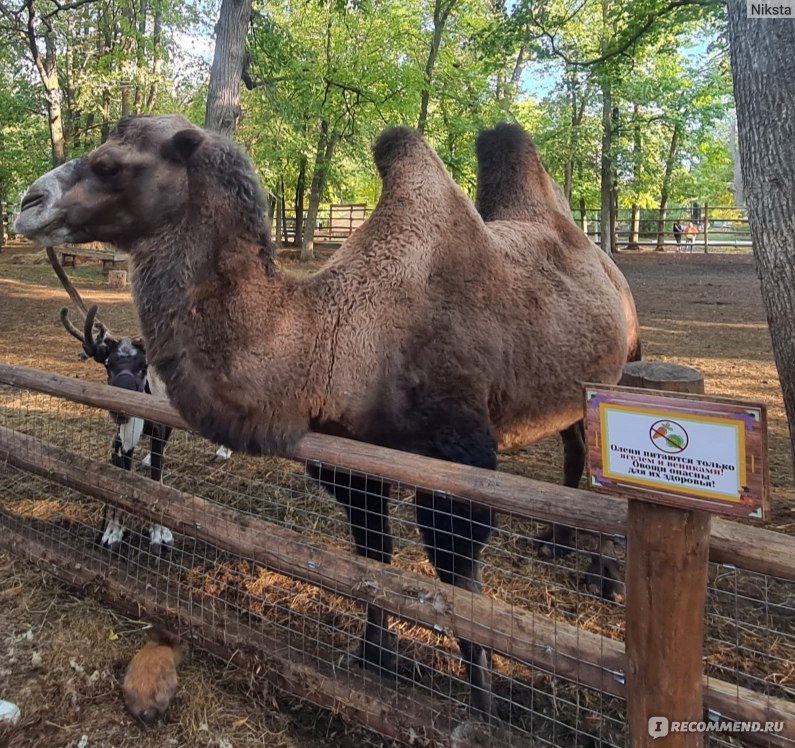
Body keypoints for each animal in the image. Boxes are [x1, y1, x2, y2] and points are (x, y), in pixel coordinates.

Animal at [15, 114, 644, 716]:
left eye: (109, 164)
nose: (27, 201)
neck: (336, 339)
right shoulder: (349, 460)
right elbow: (374, 559)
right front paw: (373, 661)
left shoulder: (462, 457)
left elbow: (459, 583)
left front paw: (488, 710)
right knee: (572, 451)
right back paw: (555, 542)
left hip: (619, 372)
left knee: (602, 470)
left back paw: (603, 577)